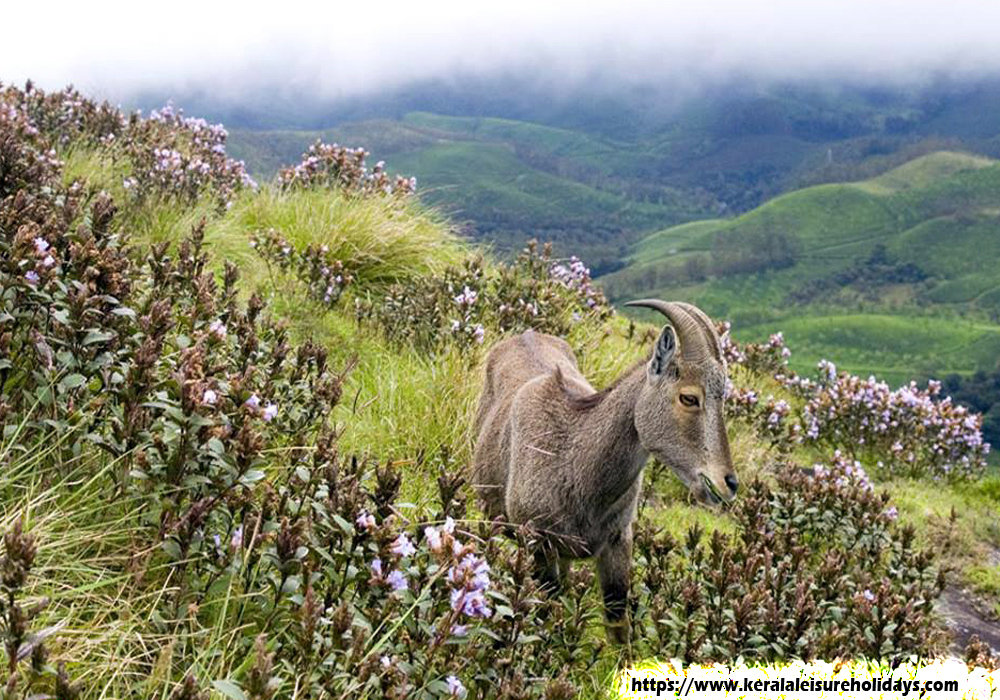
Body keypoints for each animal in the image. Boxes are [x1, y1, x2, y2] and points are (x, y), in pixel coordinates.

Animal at [472, 298, 740, 644]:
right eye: (689, 397)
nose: (728, 483)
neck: (574, 464)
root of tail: (525, 334)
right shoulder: (539, 541)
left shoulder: (618, 538)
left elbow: (617, 622)